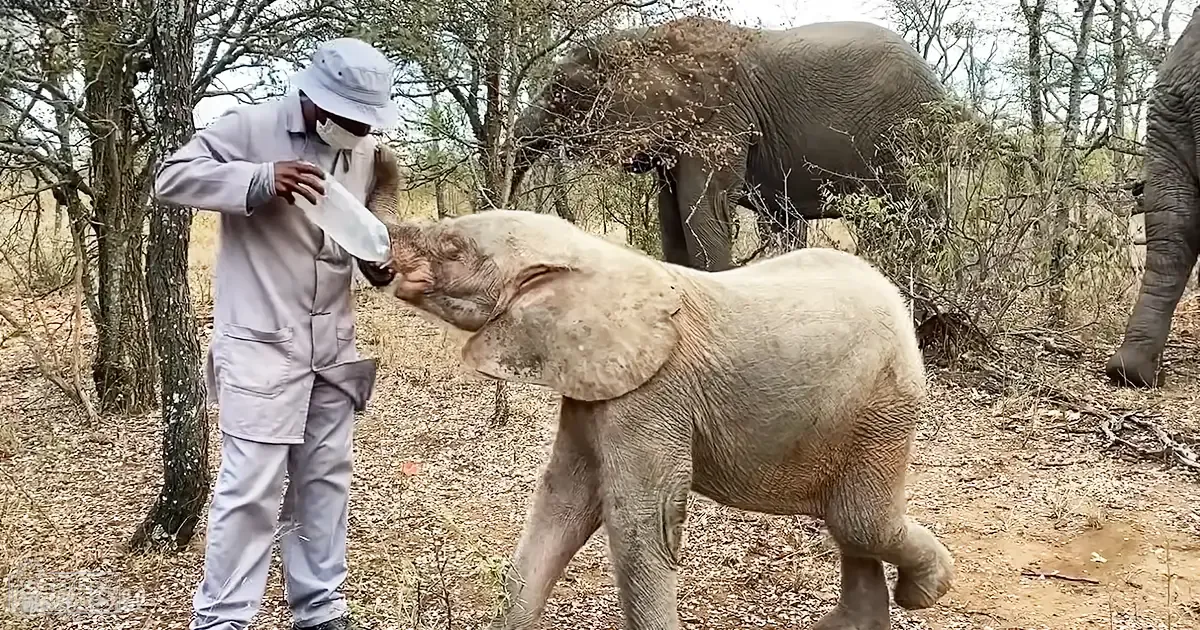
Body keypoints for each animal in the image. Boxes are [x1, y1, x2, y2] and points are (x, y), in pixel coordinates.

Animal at [379, 209, 955, 629]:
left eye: (452, 247)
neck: (591, 256)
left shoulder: (652, 394)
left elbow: (640, 524)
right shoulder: (597, 385)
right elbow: (562, 503)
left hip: (884, 404)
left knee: (857, 520)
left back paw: (925, 592)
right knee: (851, 527)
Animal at [505, 16, 950, 272]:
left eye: (559, 90)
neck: (646, 39)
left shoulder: (722, 118)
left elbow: (704, 209)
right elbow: (671, 215)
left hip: (905, 139)